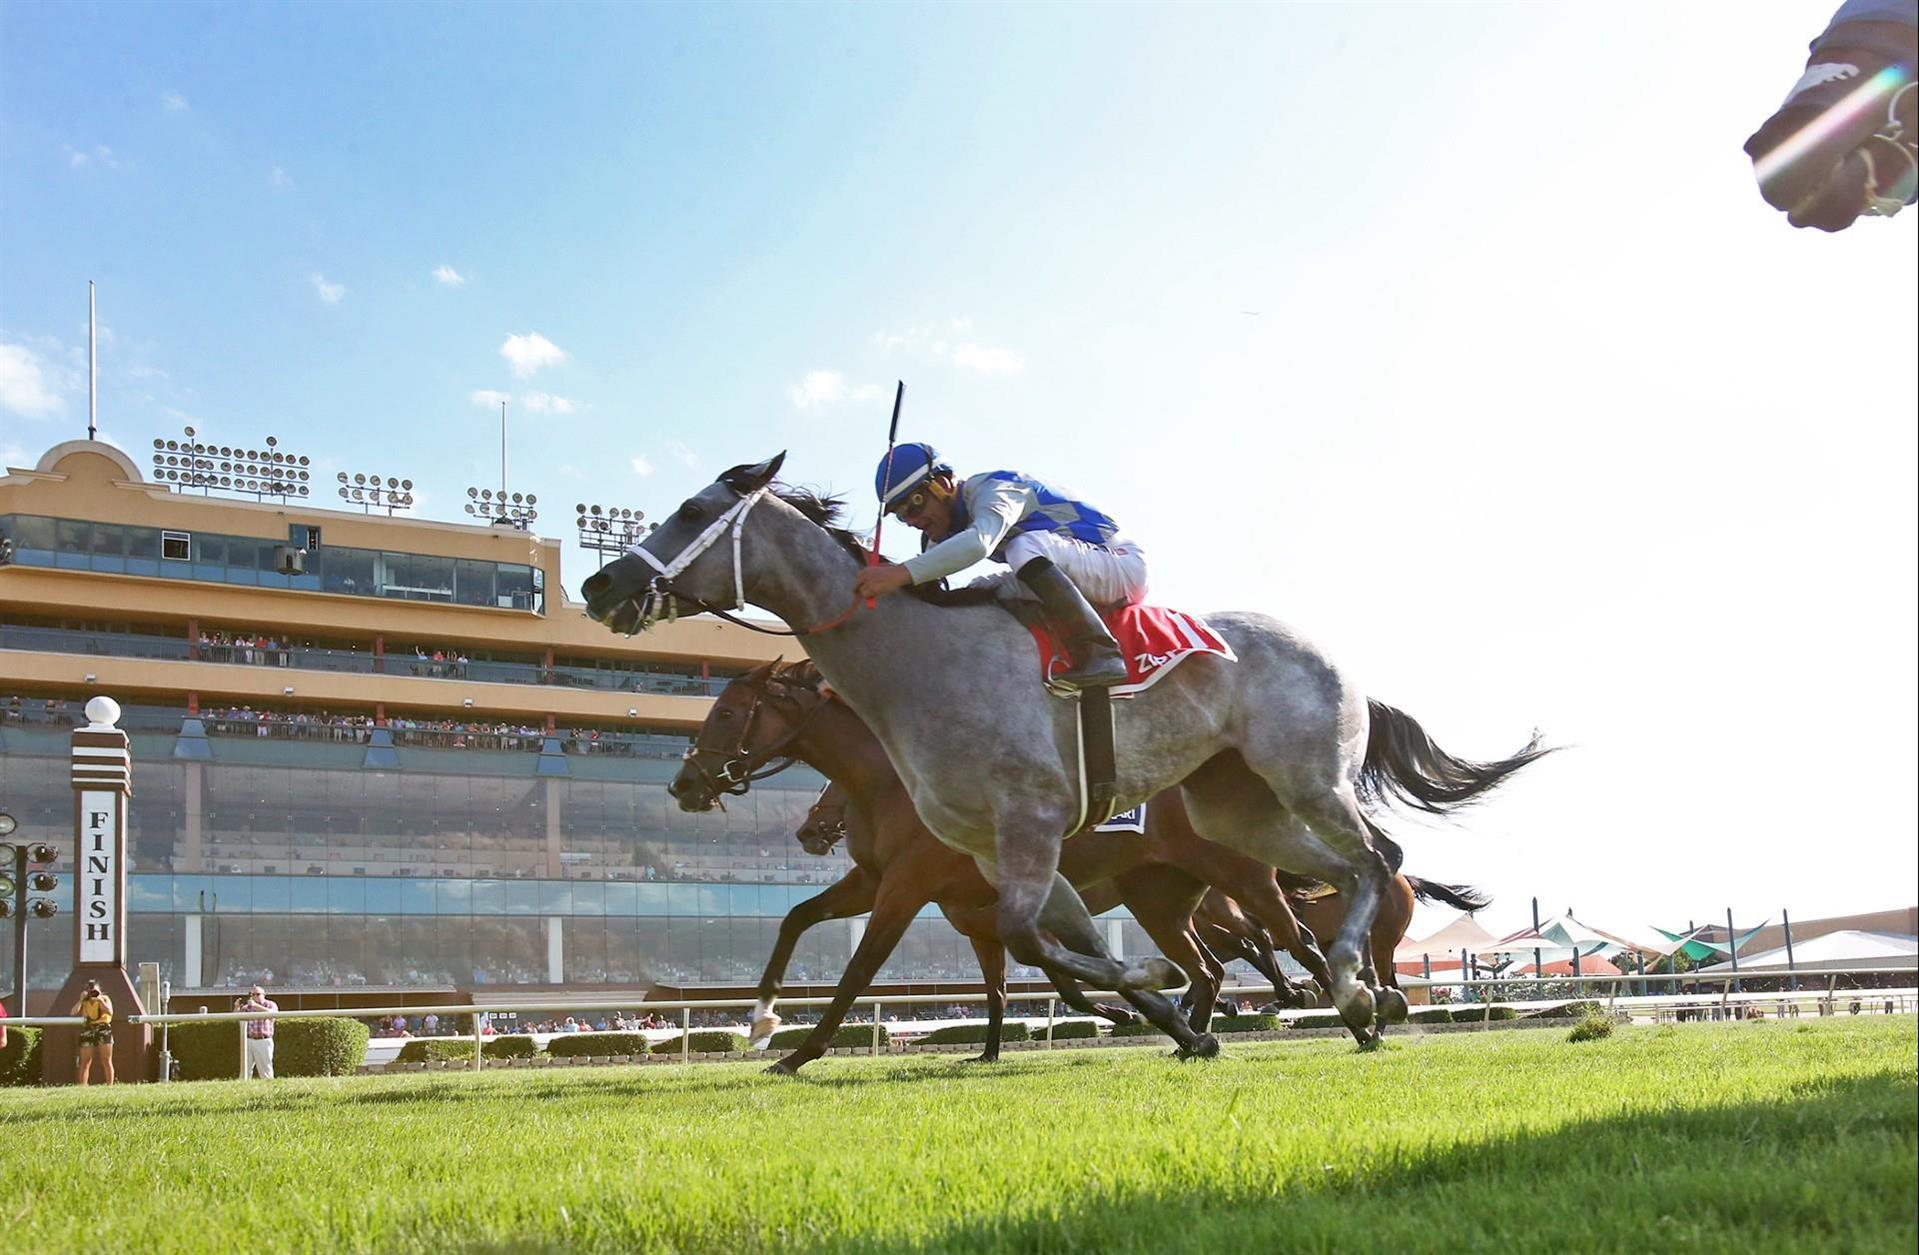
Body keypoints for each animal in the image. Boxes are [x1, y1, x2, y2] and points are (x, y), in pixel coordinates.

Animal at [675, 663, 1350, 1074]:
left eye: (728, 713)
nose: (683, 784)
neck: (893, 785)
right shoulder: (898, 887)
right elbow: (797, 917)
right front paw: (763, 1018)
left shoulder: (908, 886)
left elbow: (860, 970)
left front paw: (800, 1053)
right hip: (1159, 897)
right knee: (1211, 966)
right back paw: (1199, 1030)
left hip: (1237, 879)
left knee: (1290, 939)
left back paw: (1339, 1012)